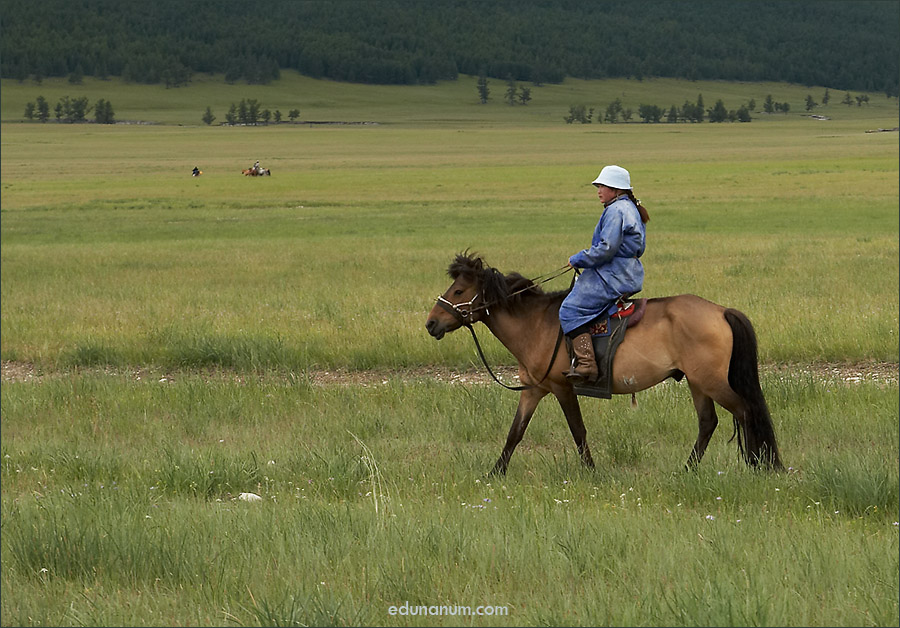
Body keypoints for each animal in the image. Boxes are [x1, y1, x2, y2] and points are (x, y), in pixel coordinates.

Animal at [424, 254, 780, 476]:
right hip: (697, 382)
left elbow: (578, 430)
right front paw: (494, 473)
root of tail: (721, 311)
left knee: (745, 410)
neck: (535, 324)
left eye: (459, 290)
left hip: (712, 382)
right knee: (708, 423)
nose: (431, 323)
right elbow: (515, 432)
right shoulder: (534, 390)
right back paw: (687, 470)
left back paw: (756, 465)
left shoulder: (562, 388)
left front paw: (592, 472)